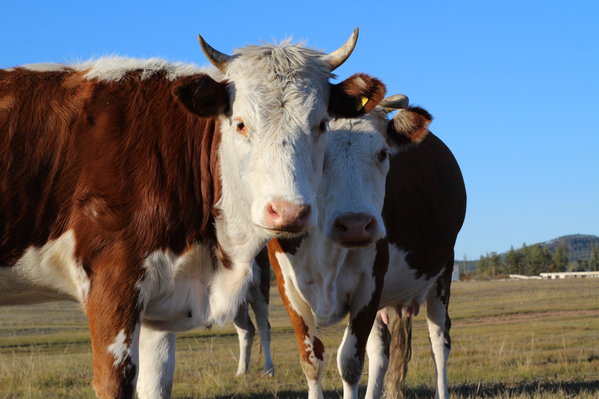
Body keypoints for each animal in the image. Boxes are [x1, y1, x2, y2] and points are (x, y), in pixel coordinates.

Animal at [0, 29, 386, 398]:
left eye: (321, 124)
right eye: (240, 124)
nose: (288, 212)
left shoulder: (159, 298)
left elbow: (157, 383)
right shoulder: (113, 282)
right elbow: (115, 382)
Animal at [268, 97, 468, 399]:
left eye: (383, 154)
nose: (355, 224)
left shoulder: (369, 285)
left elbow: (350, 363)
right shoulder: (288, 288)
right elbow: (312, 362)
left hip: (442, 273)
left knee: (439, 342)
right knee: (380, 353)